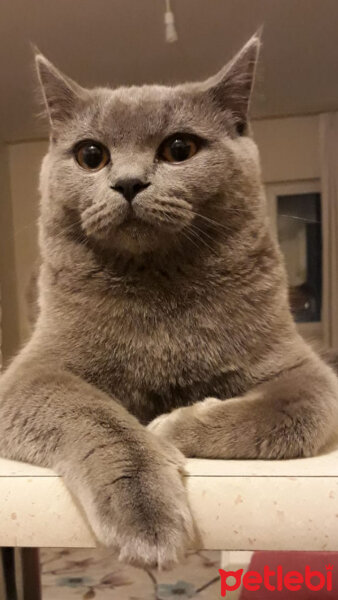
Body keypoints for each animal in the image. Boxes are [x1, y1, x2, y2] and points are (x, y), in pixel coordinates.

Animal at [0, 34, 338, 568]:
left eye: (180, 148)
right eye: (91, 155)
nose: (129, 182)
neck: (157, 291)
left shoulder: (301, 368)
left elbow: (296, 413)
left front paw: (174, 424)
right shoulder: (31, 373)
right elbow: (94, 415)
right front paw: (144, 512)